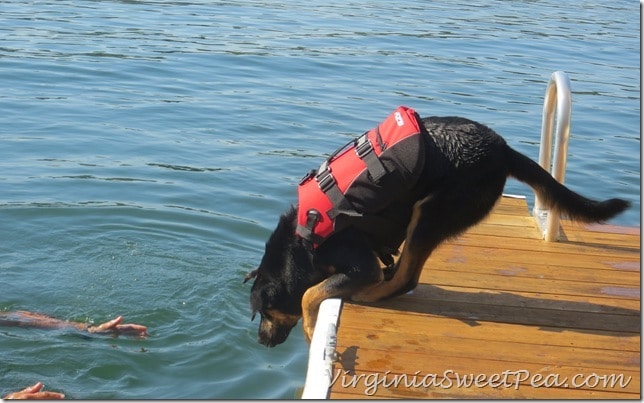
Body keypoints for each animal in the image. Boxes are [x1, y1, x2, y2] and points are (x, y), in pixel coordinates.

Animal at [245, 113, 628, 348]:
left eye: (265, 313)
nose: (261, 340)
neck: (301, 243)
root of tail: (503, 150)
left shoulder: (356, 261)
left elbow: (310, 294)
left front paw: (311, 328)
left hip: (430, 211)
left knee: (407, 278)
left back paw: (372, 293)